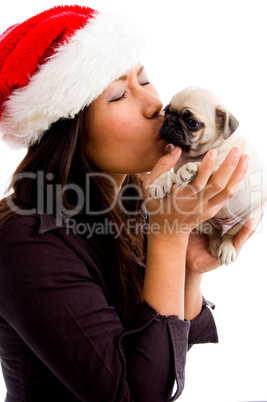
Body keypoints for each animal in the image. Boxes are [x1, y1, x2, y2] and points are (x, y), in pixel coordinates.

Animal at [151, 86, 267, 266]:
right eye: (166, 111)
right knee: (212, 232)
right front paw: (160, 182)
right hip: (202, 223)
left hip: (248, 219)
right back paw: (214, 244)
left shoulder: (227, 169)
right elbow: (170, 173)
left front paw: (189, 168)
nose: (169, 122)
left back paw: (226, 248)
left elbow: (204, 165)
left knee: (229, 235)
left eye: (192, 123)